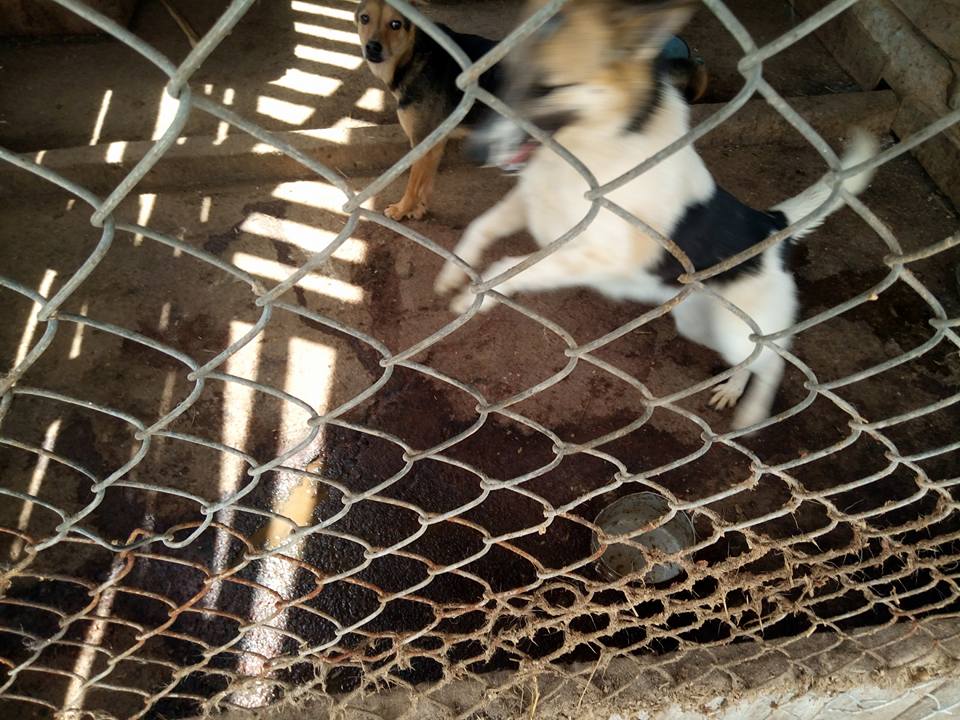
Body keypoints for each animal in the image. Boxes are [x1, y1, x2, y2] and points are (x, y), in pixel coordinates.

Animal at [434, 0, 877, 430]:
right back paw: (734, 389)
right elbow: (479, 228)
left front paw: (477, 295)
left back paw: (751, 409)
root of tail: (771, 225)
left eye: (549, 87)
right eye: (504, 74)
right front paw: (454, 273)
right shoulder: (530, 205)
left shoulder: (597, 255)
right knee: (754, 358)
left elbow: (511, 266)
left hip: (737, 329)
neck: (593, 146)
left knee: (772, 360)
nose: (472, 153)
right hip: (703, 324)